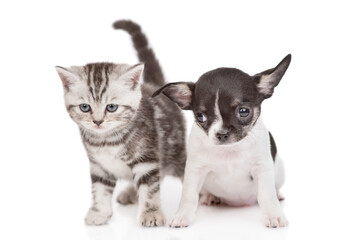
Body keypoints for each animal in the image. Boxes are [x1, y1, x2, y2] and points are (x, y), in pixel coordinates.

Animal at [55, 20, 186, 227]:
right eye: (85, 107)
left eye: (111, 107)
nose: (98, 121)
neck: (106, 140)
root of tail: (155, 86)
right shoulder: (98, 165)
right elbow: (100, 188)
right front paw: (99, 212)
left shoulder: (147, 158)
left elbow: (150, 188)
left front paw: (151, 213)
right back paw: (131, 193)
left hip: (175, 149)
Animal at [153, 53, 290, 228]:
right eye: (200, 116)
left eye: (243, 111)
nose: (222, 133)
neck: (229, 151)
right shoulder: (195, 170)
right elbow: (189, 195)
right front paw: (182, 215)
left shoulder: (262, 168)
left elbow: (267, 194)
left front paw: (273, 215)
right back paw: (211, 197)